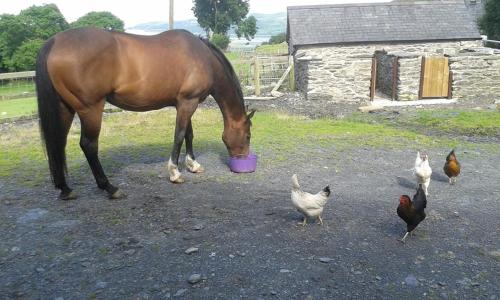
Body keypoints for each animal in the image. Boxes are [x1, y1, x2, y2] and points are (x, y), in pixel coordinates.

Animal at [36, 28, 254, 199]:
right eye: (248, 135)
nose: (243, 158)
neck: (203, 57)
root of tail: (55, 41)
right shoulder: (188, 102)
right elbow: (179, 136)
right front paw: (175, 173)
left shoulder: (184, 103)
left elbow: (189, 135)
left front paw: (193, 165)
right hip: (91, 110)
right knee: (88, 145)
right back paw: (110, 188)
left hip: (65, 108)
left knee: (58, 143)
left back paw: (65, 189)